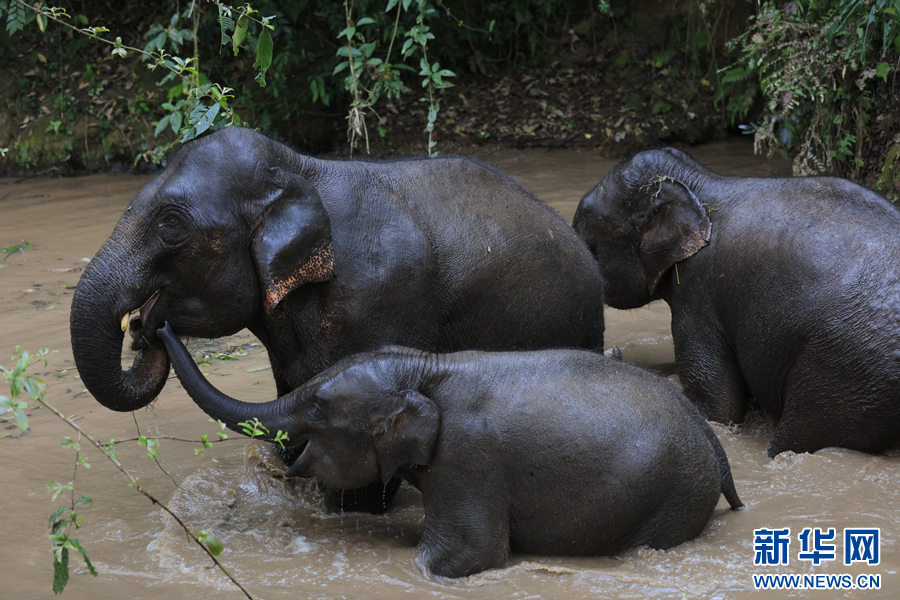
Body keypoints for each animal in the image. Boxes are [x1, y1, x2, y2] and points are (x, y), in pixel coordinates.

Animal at [157, 321, 743, 579]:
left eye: (319, 409)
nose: (150, 322)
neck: (426, 367)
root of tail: (712, 444)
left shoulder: (467, 459)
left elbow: (466, 556)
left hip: (672, 494)